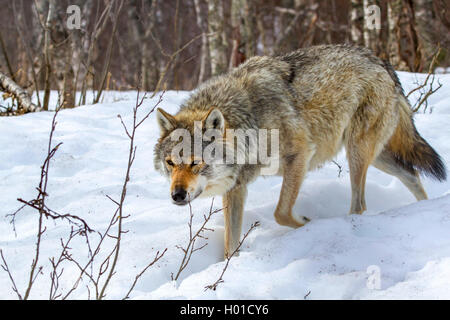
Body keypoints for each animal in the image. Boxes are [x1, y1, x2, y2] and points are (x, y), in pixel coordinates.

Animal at [155, 43, 446, 258]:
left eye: (195, 162)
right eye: (170, 163)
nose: (177, 195)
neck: (250, 119)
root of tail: (381, 61)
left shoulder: (299, 157)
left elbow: (281, 213)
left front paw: (308, 224)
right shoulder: (236, 187)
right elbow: (230, 245)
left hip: (358, 152)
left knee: (361, 204)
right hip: (376, 156)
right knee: (412, 175)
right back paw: (425, 208)